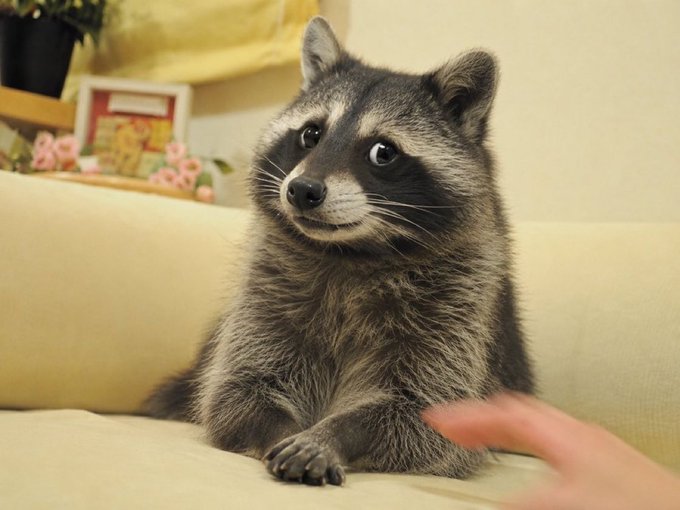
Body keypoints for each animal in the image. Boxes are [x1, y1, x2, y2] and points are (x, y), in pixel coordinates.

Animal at [146, 17, 533, 486]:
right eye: (311, 134)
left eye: (383, 152)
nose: (301, 190)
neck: (351, 252)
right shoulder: (267, 294)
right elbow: (237, 390)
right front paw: (282, 429)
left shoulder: (458, 313)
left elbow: (427, 414)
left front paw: (331, 434)